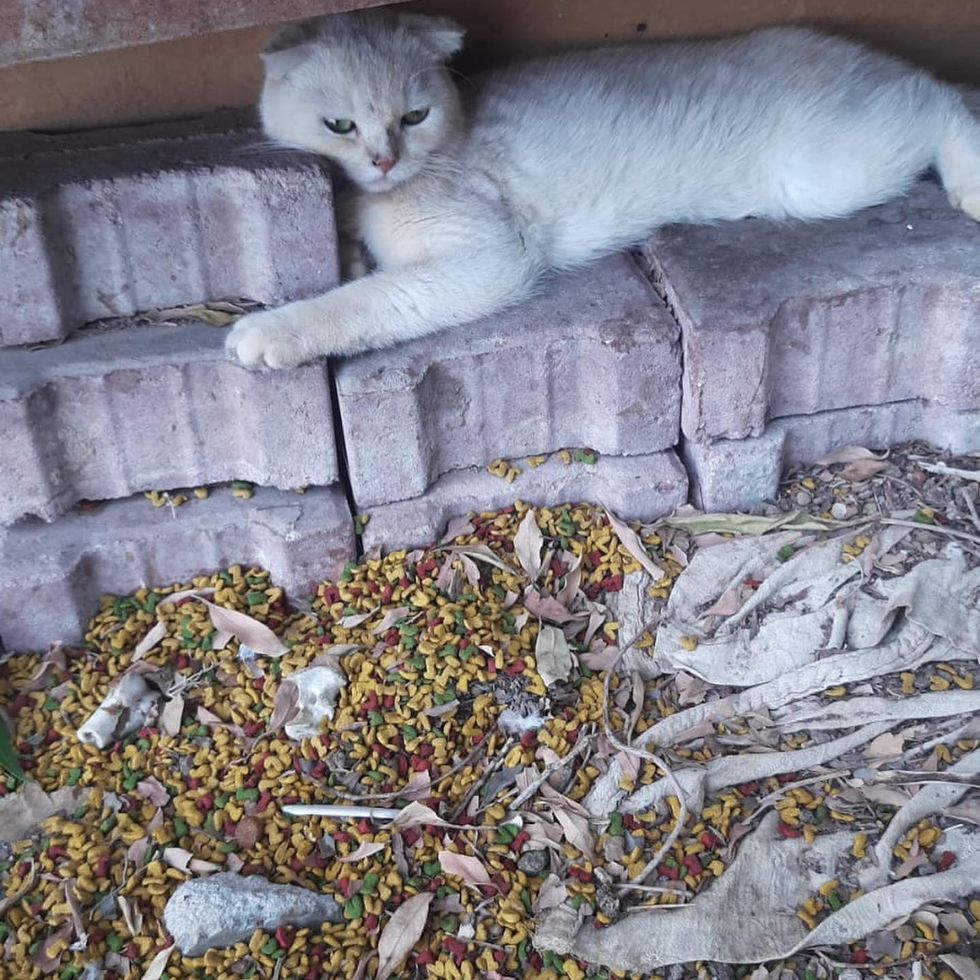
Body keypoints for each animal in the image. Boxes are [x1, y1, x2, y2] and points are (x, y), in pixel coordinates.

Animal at [224, 13, 980, 368]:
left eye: (414, 116)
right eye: (340, 125)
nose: (384, 160)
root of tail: (856, 54)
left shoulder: (490, 258)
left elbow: (371, 299)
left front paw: (274, 331)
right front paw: (350, 242)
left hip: (822, 174)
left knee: (938, 97)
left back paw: (969, 177)